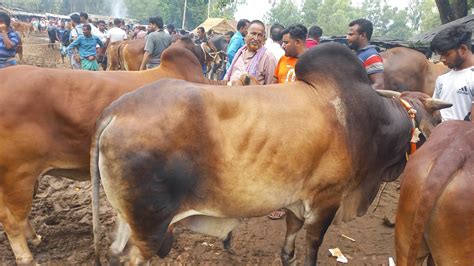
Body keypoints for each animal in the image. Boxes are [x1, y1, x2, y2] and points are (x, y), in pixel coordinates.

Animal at [90, 42, 452, 264]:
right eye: (436, 121)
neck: (368, 121)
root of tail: (117, 110)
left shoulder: (296, 201)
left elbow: (287, 248)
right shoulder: (326, 202)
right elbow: (312, 249)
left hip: (128, 220)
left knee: (114, 253)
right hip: (150, 227)